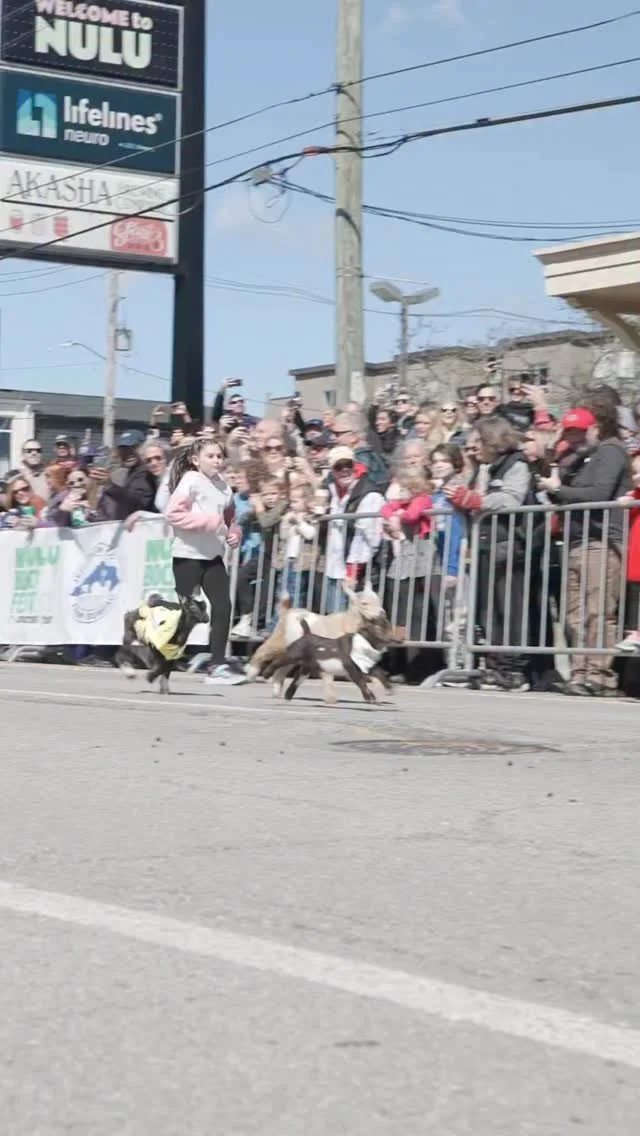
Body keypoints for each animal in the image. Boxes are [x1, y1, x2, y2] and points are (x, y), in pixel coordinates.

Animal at [261, 615, 394, 703]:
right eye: (381, 627)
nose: (393, 639)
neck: (365, 641)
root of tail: (306, 634)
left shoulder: (366, 666)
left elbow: (379, 673)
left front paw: (389, 689)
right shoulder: (351, 667)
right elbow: (361, 682)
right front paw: (370, 698)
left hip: (307, 668)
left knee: (297, 680)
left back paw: (288, 697)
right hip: (294, 654)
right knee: (278, 661)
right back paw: (266, 674)